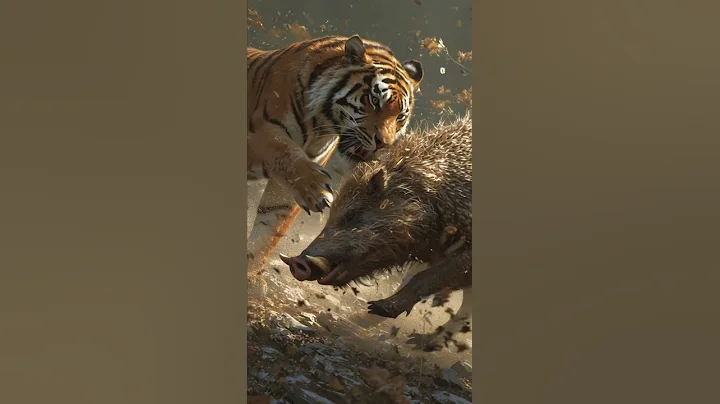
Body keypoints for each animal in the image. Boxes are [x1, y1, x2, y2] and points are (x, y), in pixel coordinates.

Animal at [247, 35, 424, 279]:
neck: (319, 125)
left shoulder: (287, 188)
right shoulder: (263, 132)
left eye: (400, 116)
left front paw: (249, 275)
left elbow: (267, 232)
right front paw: (318, 192)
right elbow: (284, 154)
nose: (384, 143)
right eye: (374, 100)